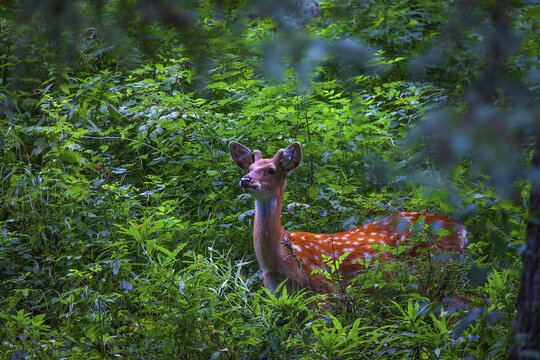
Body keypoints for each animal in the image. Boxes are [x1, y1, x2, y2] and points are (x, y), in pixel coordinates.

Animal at [230, 141, 466, 296]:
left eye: (271, 170)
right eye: (249, 167)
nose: (245, 180)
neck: (279, 264)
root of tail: (461, 229)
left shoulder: (324, 291)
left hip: (437, 267)